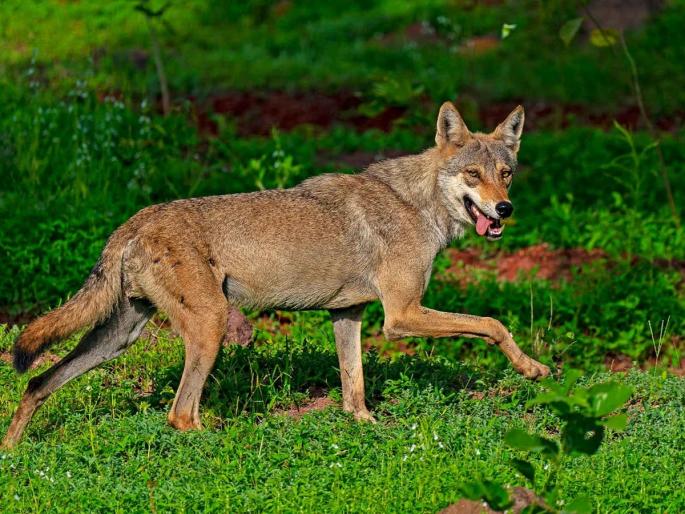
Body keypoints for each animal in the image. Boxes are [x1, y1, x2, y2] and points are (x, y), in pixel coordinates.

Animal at [2, 102, 550, 449]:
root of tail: (135, 219)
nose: (504, 209)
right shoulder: (401, 316)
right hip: (210, 327)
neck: (417, 206)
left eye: (506, 174)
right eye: (473, 175)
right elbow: (492, 324)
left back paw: (13, 452)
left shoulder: (348, 315)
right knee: (181, 416)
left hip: (118, 338)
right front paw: (533, 369)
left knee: (38, 383)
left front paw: (369, 427)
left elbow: (354, 391)